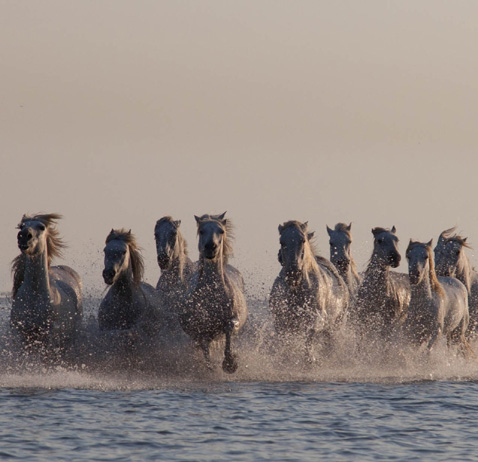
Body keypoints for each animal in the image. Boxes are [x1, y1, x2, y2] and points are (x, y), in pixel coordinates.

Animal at [178, 212, 248, 372]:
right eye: (201, 231)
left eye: (221, 231)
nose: (211, 247)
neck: (211, 294)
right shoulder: (200, 330)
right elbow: (205, 348)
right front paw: (212, 367)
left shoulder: (232, 318)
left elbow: (229, 329)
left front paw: (230, 363)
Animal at [268, 220, 352, 360]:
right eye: (281, 242)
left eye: (302, 240)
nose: (293, 273)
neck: (296, 290)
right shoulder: (281, 322)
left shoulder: (317, 318)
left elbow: (310, 335)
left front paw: (310, 359)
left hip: (336, 324)